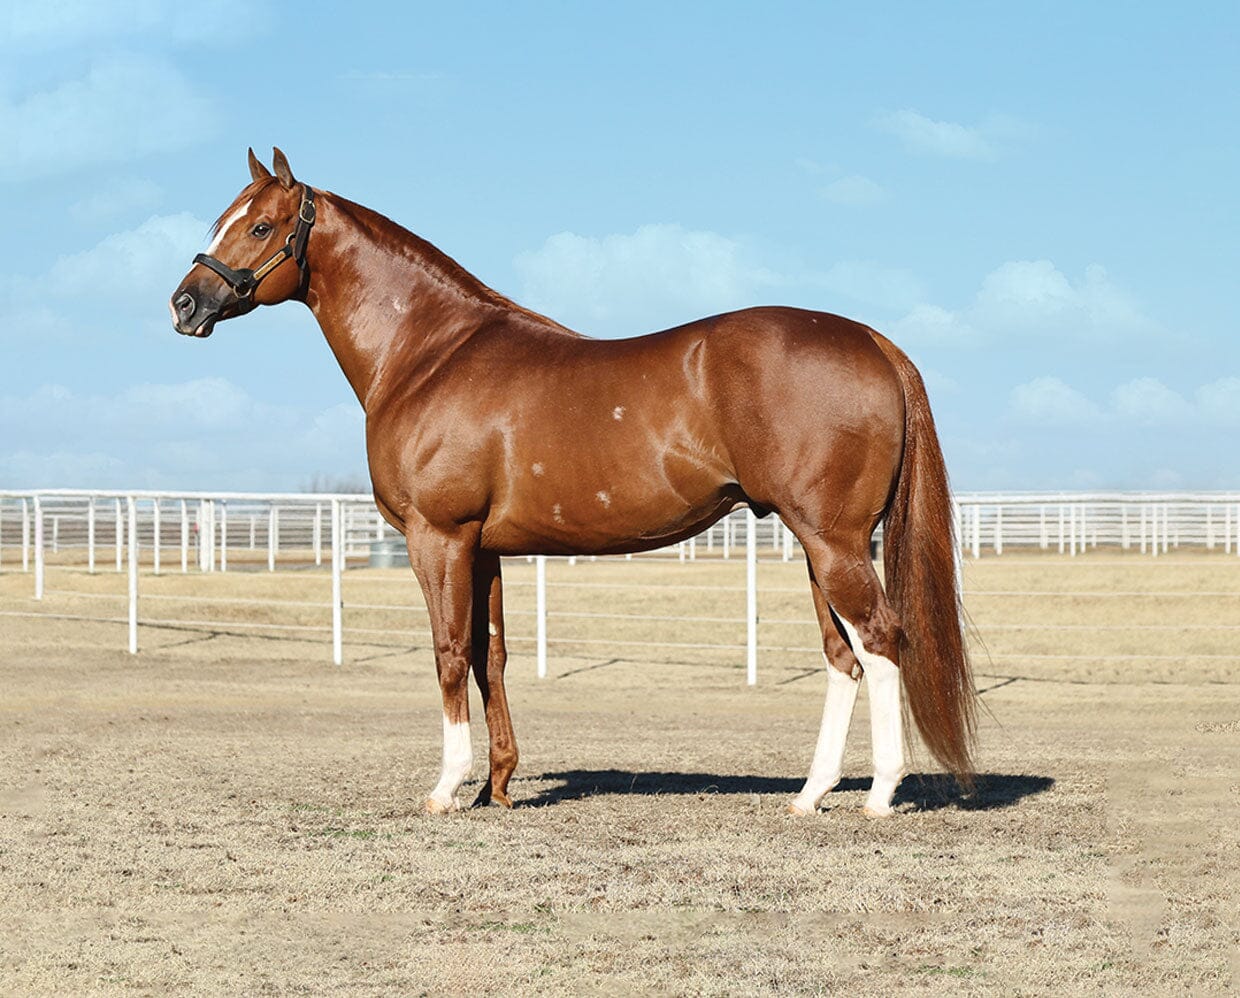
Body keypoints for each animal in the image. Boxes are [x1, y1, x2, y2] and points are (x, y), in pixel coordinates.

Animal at [170, 148, 977, 817]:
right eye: (223, 219)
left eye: (262, 225)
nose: (185, 304)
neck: (428, 351)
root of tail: (871, 340)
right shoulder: (484, 549)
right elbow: (488, 656)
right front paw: (497, 786)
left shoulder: (440, 538)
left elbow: (446, 651)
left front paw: (446, 788)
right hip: (820, 545)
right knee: (843, 657)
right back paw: (809, 796)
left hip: (832, 542)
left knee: (880, 641)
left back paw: (879, 796)